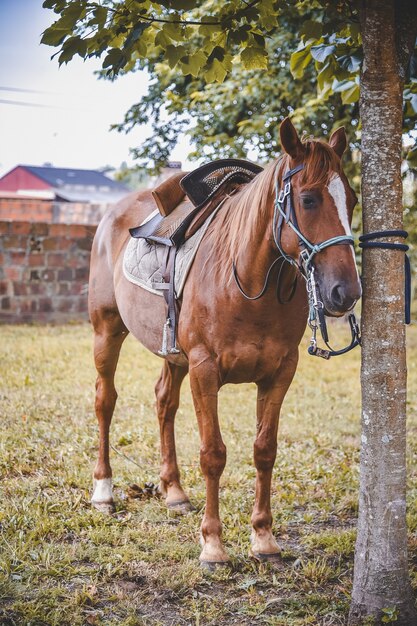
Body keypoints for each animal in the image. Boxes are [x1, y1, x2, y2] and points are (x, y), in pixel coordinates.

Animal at [88, 116, 360, 564]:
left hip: (172, 355)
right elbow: (213, 454)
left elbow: (265, 450)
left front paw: (263, 537)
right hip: (106, 330)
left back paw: (174, 491)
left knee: (164, 401)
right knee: (104, 401)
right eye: (308, 200)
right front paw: (213, 544)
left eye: (352, 200)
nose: (346, 292)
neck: (246, 279)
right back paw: (104, 492)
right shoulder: (204, 369)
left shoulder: (280, 372)